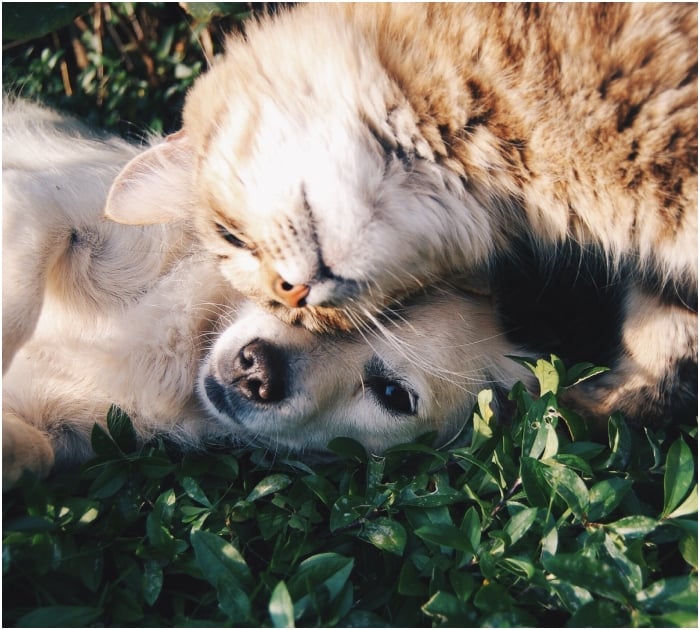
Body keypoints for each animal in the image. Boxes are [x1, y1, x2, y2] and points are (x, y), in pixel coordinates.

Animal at [1, 101, 532, 492]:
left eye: (392, 395)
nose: (257, 371)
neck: (185, 342)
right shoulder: (40, 199)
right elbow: (17, 307)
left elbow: (36, 452)